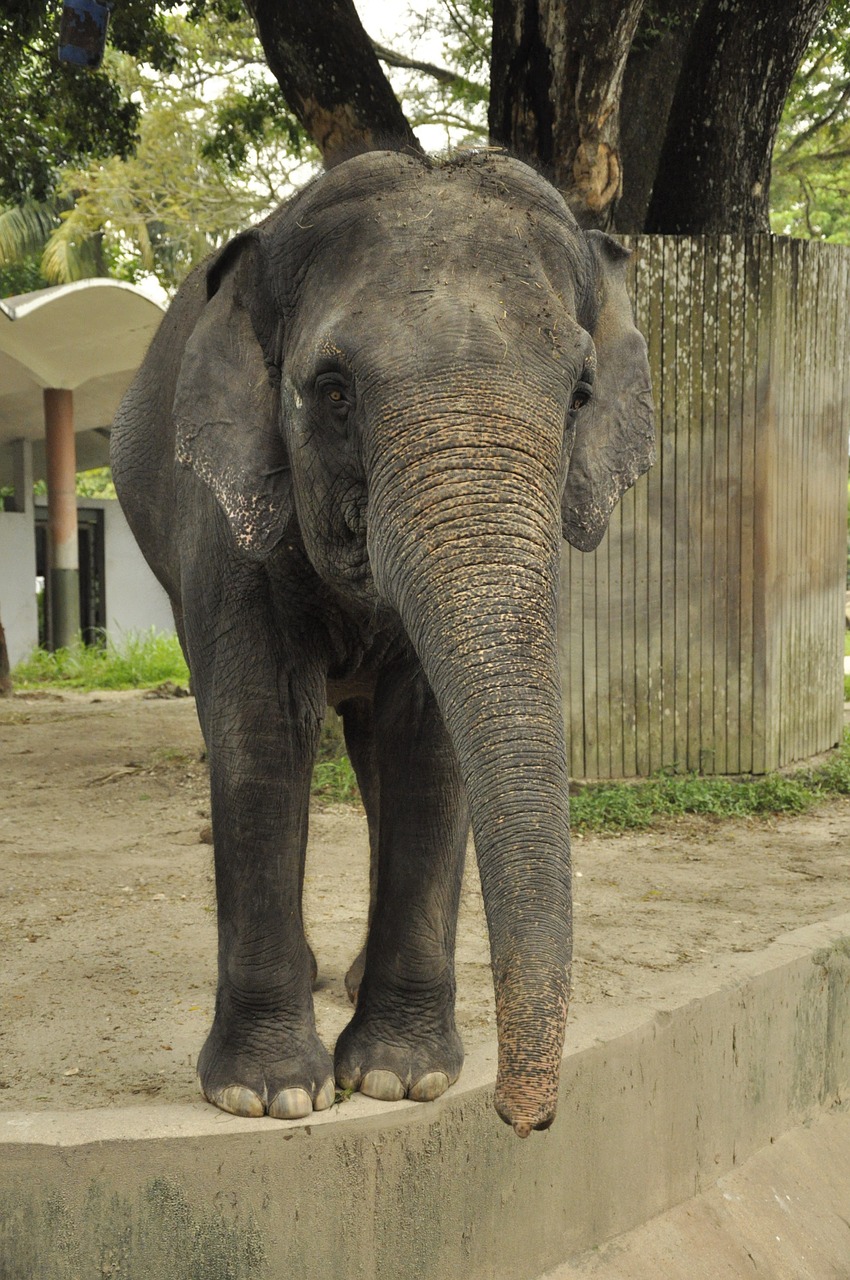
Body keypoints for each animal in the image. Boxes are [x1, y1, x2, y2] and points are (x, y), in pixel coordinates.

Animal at [112, 149, 652, 1141]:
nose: (525, 1121)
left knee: (372, 755)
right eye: (332, 392)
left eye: (581, 395)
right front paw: (269, 1095)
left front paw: (405, 1080)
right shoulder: (225, 523)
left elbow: (425, 745)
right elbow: (259, 734)